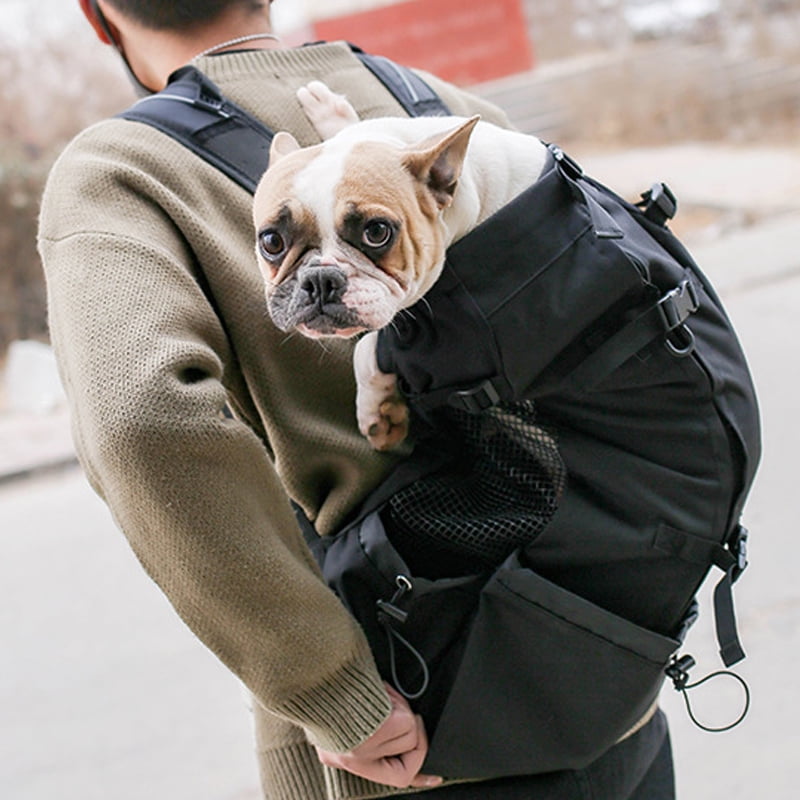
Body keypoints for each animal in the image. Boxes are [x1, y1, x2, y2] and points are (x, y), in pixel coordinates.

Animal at [253, 85, 548, 454]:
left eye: (377, 232)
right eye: (271, 241)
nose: (320, 279)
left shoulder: (458, 345)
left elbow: (369, 346)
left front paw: (378, 411)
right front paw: (331, 111)